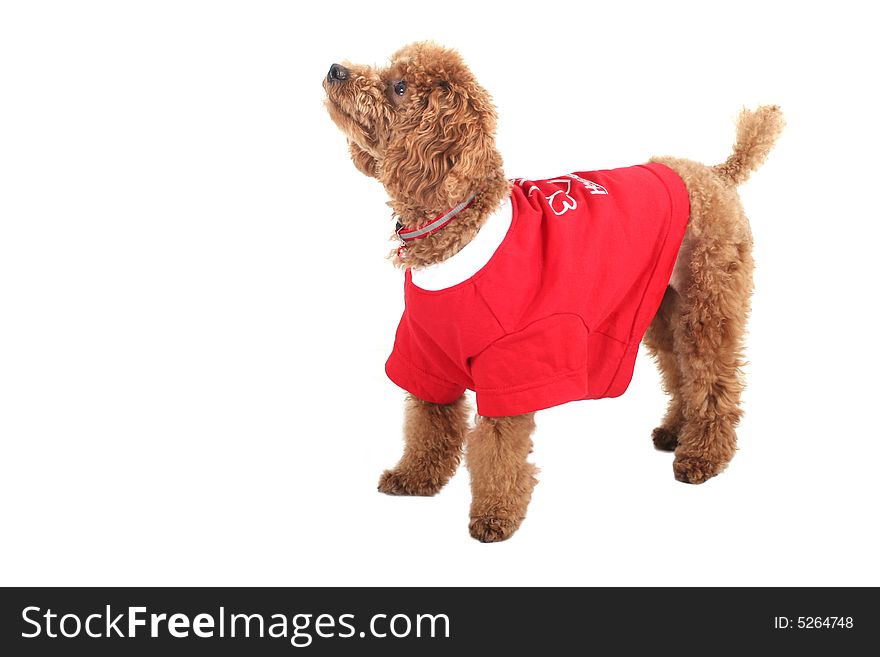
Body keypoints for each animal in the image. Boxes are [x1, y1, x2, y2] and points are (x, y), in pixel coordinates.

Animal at [324, 42, 784, 544]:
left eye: (400, 87)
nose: (335, 69)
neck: (457, 219)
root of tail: (717, 174)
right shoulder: (428, 351)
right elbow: (428, 424)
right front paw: (414, 478)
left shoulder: (513, 359)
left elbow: (499, 447)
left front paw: (495, 514)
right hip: (661, 307)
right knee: (680, 370)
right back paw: (674, 431)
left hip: (708, 302)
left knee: (714, 378)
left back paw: (703, 456)